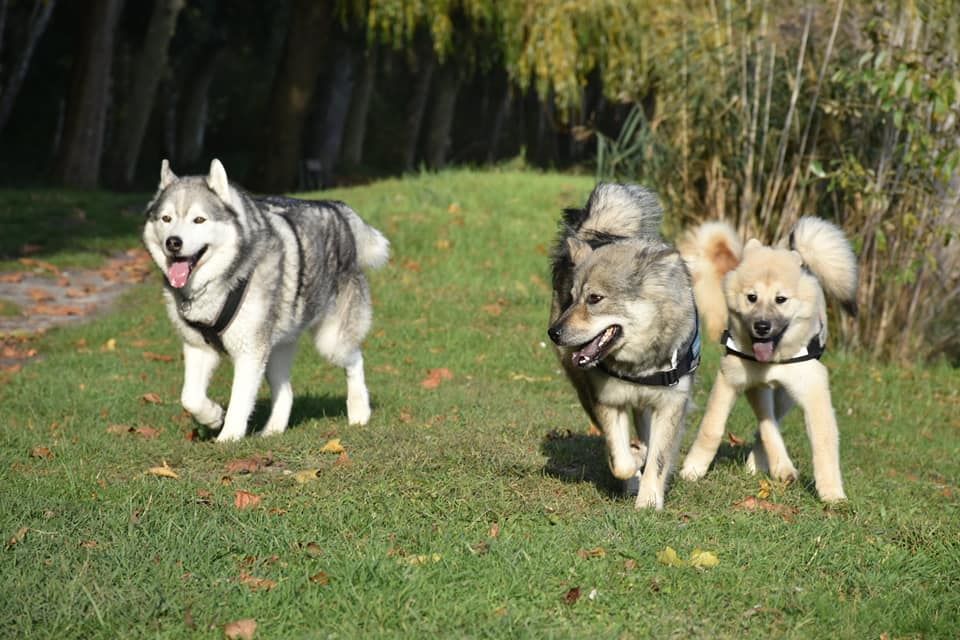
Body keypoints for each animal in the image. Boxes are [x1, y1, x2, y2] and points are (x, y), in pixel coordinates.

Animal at [141, 158, 388, 442]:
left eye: (199, 220)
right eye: (166, 218)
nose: (173, 242)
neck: (221, 282)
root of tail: (338, 209)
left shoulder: (250, 352)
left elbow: (239, 400)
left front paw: (228, 438)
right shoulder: (198, 347)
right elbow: (190, 397)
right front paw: (213, 417)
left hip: (331, 342)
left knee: (356, 360)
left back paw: (359, 412)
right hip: (275, 350)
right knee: (287, 391)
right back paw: (273, 430)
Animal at [548, 185, 696, 510]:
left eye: (595, 299)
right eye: (571, 298)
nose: (553, 333)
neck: (638, 365)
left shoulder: (671, 403)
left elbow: (658, 457)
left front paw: (649, 501)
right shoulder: (607, 400)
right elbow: (621, 460)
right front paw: (635, 464)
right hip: (585, 392)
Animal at [680, 218, 860, 502]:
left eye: (780, 299)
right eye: (751, 297)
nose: (762, 326)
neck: (774, 359)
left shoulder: (812, 389)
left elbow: (823, 442)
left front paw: (832, 493)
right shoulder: (733, 378)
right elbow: (712, 427)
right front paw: (694, 468)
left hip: (786, 395)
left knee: (770, 422)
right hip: (761, 389)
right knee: (767, 422)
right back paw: (776, 465)